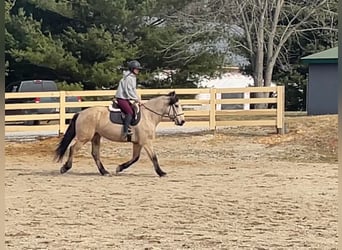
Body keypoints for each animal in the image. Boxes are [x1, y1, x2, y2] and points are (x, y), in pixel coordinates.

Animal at [54, 91, 186, 177]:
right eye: (177, 105)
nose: (182, 121)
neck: (149, 116)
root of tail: (80, 113)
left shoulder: (138, 143)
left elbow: (135, 158)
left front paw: (119, 168)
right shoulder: (146, 142)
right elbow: (153, 157)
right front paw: (161, 172)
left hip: (96, 136)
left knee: (95, 153)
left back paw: (104, 172)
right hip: (84, 138)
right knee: (73, 149)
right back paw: (65, 168)